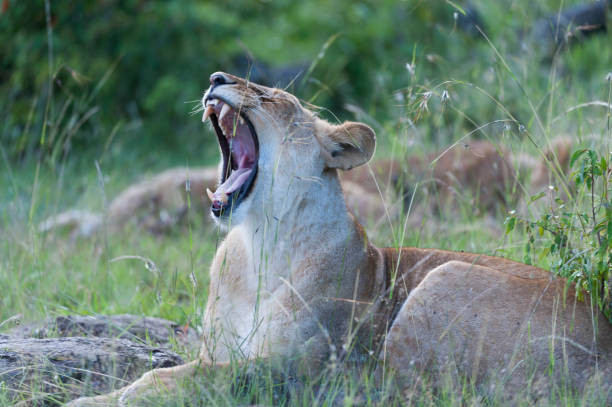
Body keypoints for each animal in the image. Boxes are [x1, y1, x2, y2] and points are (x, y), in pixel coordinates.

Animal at [64, 72, 608, 404]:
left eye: (271, 97)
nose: (216, 79)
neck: (261, 242)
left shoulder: (299, 367)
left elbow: (185, 378)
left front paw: (119, 397)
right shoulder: (221, 351)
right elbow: (154, 376)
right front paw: (94, 397)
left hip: (439, 286)